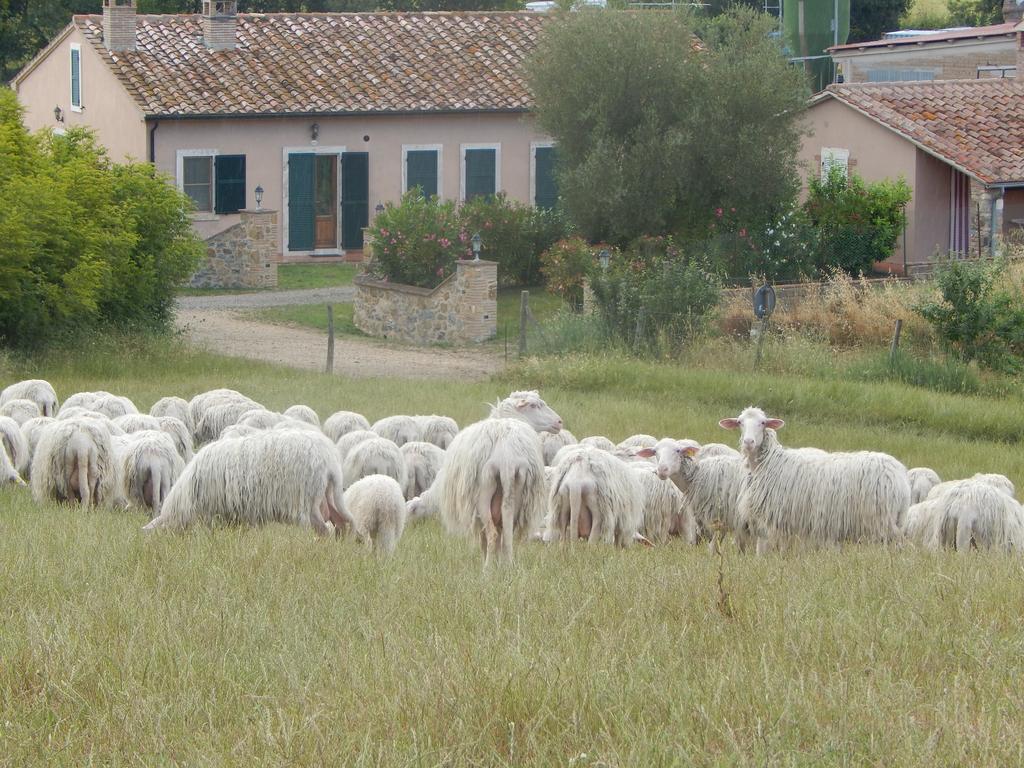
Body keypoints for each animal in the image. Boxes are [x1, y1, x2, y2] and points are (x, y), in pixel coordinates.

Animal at [142, 430, 352, 536]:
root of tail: (330, 460)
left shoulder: (215, 511)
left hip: (307, 501)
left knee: (324, 529)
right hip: (328, 495)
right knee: (342, 524)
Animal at [432, 391, 561, 565]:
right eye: (534, 405)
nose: (559, 422)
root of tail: (507, 458)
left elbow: (484, 539)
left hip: (483, 493)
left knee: (492, 535)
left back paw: (486, 570)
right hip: (517, 489)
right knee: (507, 534)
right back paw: (509, 565)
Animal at [716, 405, 909, 548]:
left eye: (763, 422)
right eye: (740, 422)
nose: (749, 442)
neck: (770, 463)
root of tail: (899, 474)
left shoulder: (778, 519)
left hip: (881, 520)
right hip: (894, 519)